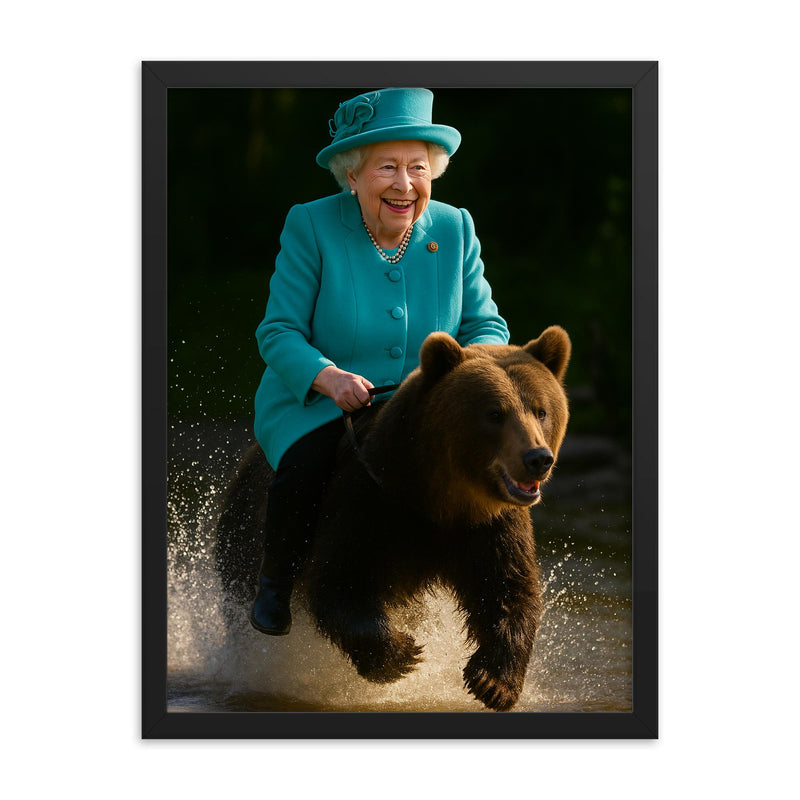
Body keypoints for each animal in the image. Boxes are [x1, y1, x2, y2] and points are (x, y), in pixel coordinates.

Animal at [214, 326, 571, 712]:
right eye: (494, 413)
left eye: (541, 410)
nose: (537, 458)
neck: (439, 496)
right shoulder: (369, 499)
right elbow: (339, 579)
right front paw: (402, 653)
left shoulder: (489, 525)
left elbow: (508, 589)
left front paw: (493, 681)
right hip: (247, 528)